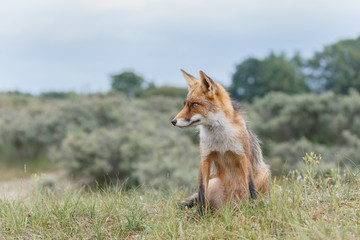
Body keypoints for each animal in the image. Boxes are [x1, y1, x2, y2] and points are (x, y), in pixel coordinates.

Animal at [172, 70, 270, 215]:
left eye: (194, 105)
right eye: (185, 104)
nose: (173, 121)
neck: (220, 140)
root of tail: (233, 207)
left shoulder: (243, 156)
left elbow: (251, 186)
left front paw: (254, 211)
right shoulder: (205, 158)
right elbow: (201, 192)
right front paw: (200, 215)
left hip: (264, 174)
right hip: (214, 182)